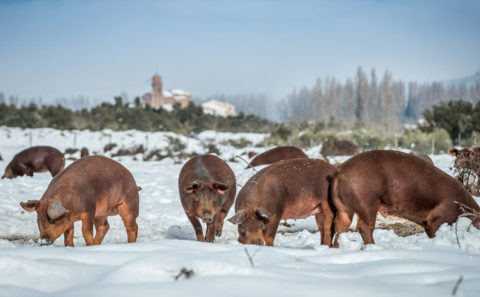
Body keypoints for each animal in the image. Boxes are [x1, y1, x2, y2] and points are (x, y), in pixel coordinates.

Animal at [330, 150, 480, 245]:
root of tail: (341, 169)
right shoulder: (440, 218)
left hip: (343, 207)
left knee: (339, 227)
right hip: (367, 201)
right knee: (364, 228)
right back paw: (374, 247)